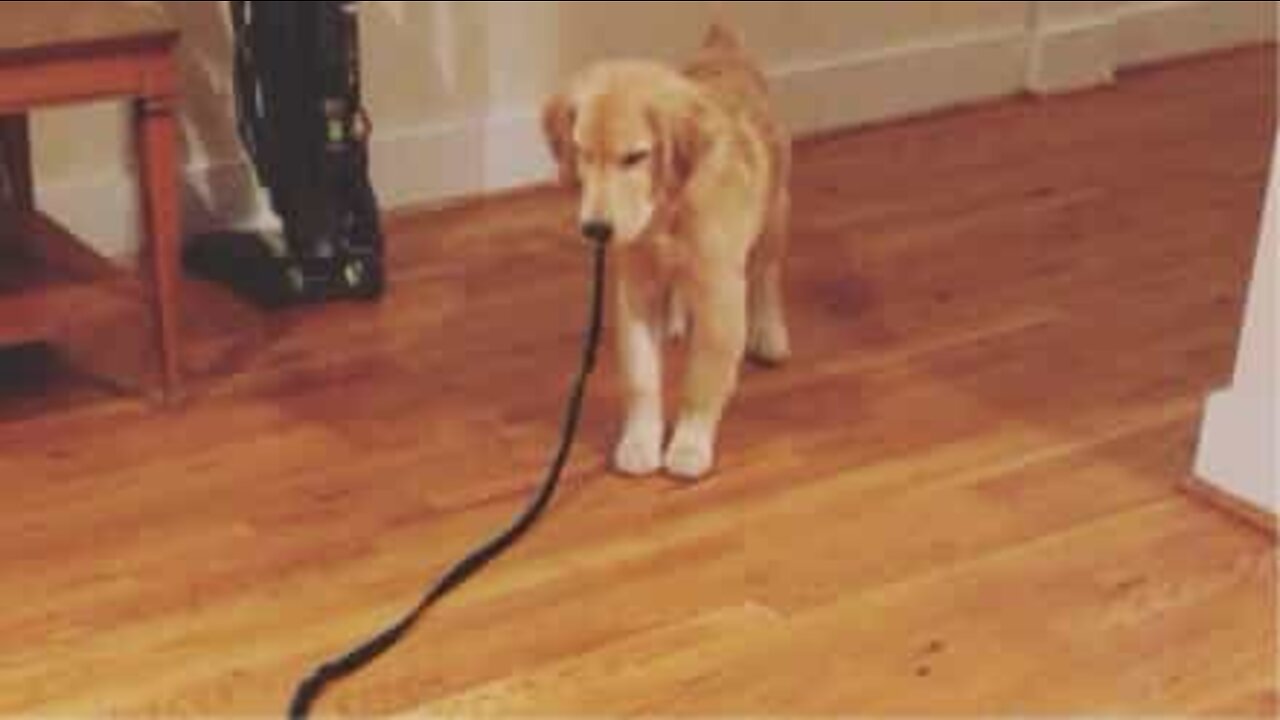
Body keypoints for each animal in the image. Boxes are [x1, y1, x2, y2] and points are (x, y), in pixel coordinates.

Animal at [540, 22, 788, 479]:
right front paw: (639, 442)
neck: (666, 211)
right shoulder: (636, 286)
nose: (595, 230)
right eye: (581, 152)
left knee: (767, 272)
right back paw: (674, 317)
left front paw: (689, 445)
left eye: (635, 157)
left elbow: (702, 379)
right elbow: (640, 375)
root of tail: (724, 49)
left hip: (775, 212)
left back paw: (769, 331)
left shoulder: (720, 295)